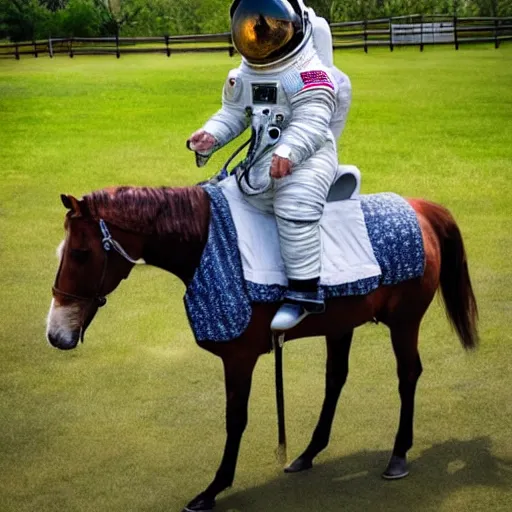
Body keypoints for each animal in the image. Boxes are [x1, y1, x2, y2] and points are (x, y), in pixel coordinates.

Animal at [46, 185, 478, 512]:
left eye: (82, 253)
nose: (55, 333)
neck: (207, 249)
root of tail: (421, 208)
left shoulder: (239, 357)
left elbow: (235, 419)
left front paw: (213, 489)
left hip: (405, 322)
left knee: (408, 375)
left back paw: (399, 455)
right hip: (342, 325)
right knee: (335, 379)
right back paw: (308, 453)